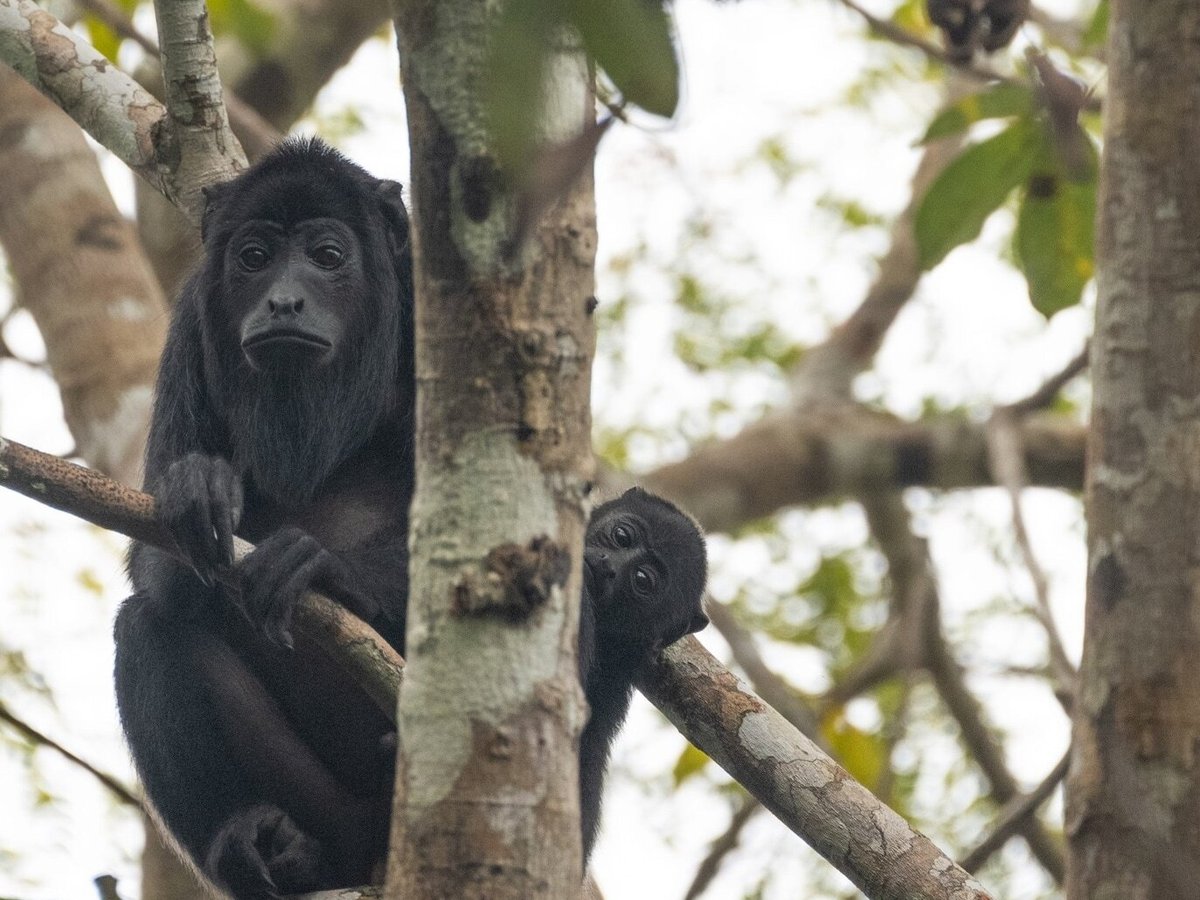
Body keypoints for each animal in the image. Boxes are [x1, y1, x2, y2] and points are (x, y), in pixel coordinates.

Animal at [114, 137, 700, 897]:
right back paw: (253, 843)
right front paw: (198, 488)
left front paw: (320, 564)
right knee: (145, 626)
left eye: (327, 255)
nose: (283, 299)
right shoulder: (191, 324)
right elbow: (156, 567)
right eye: (254, 257)